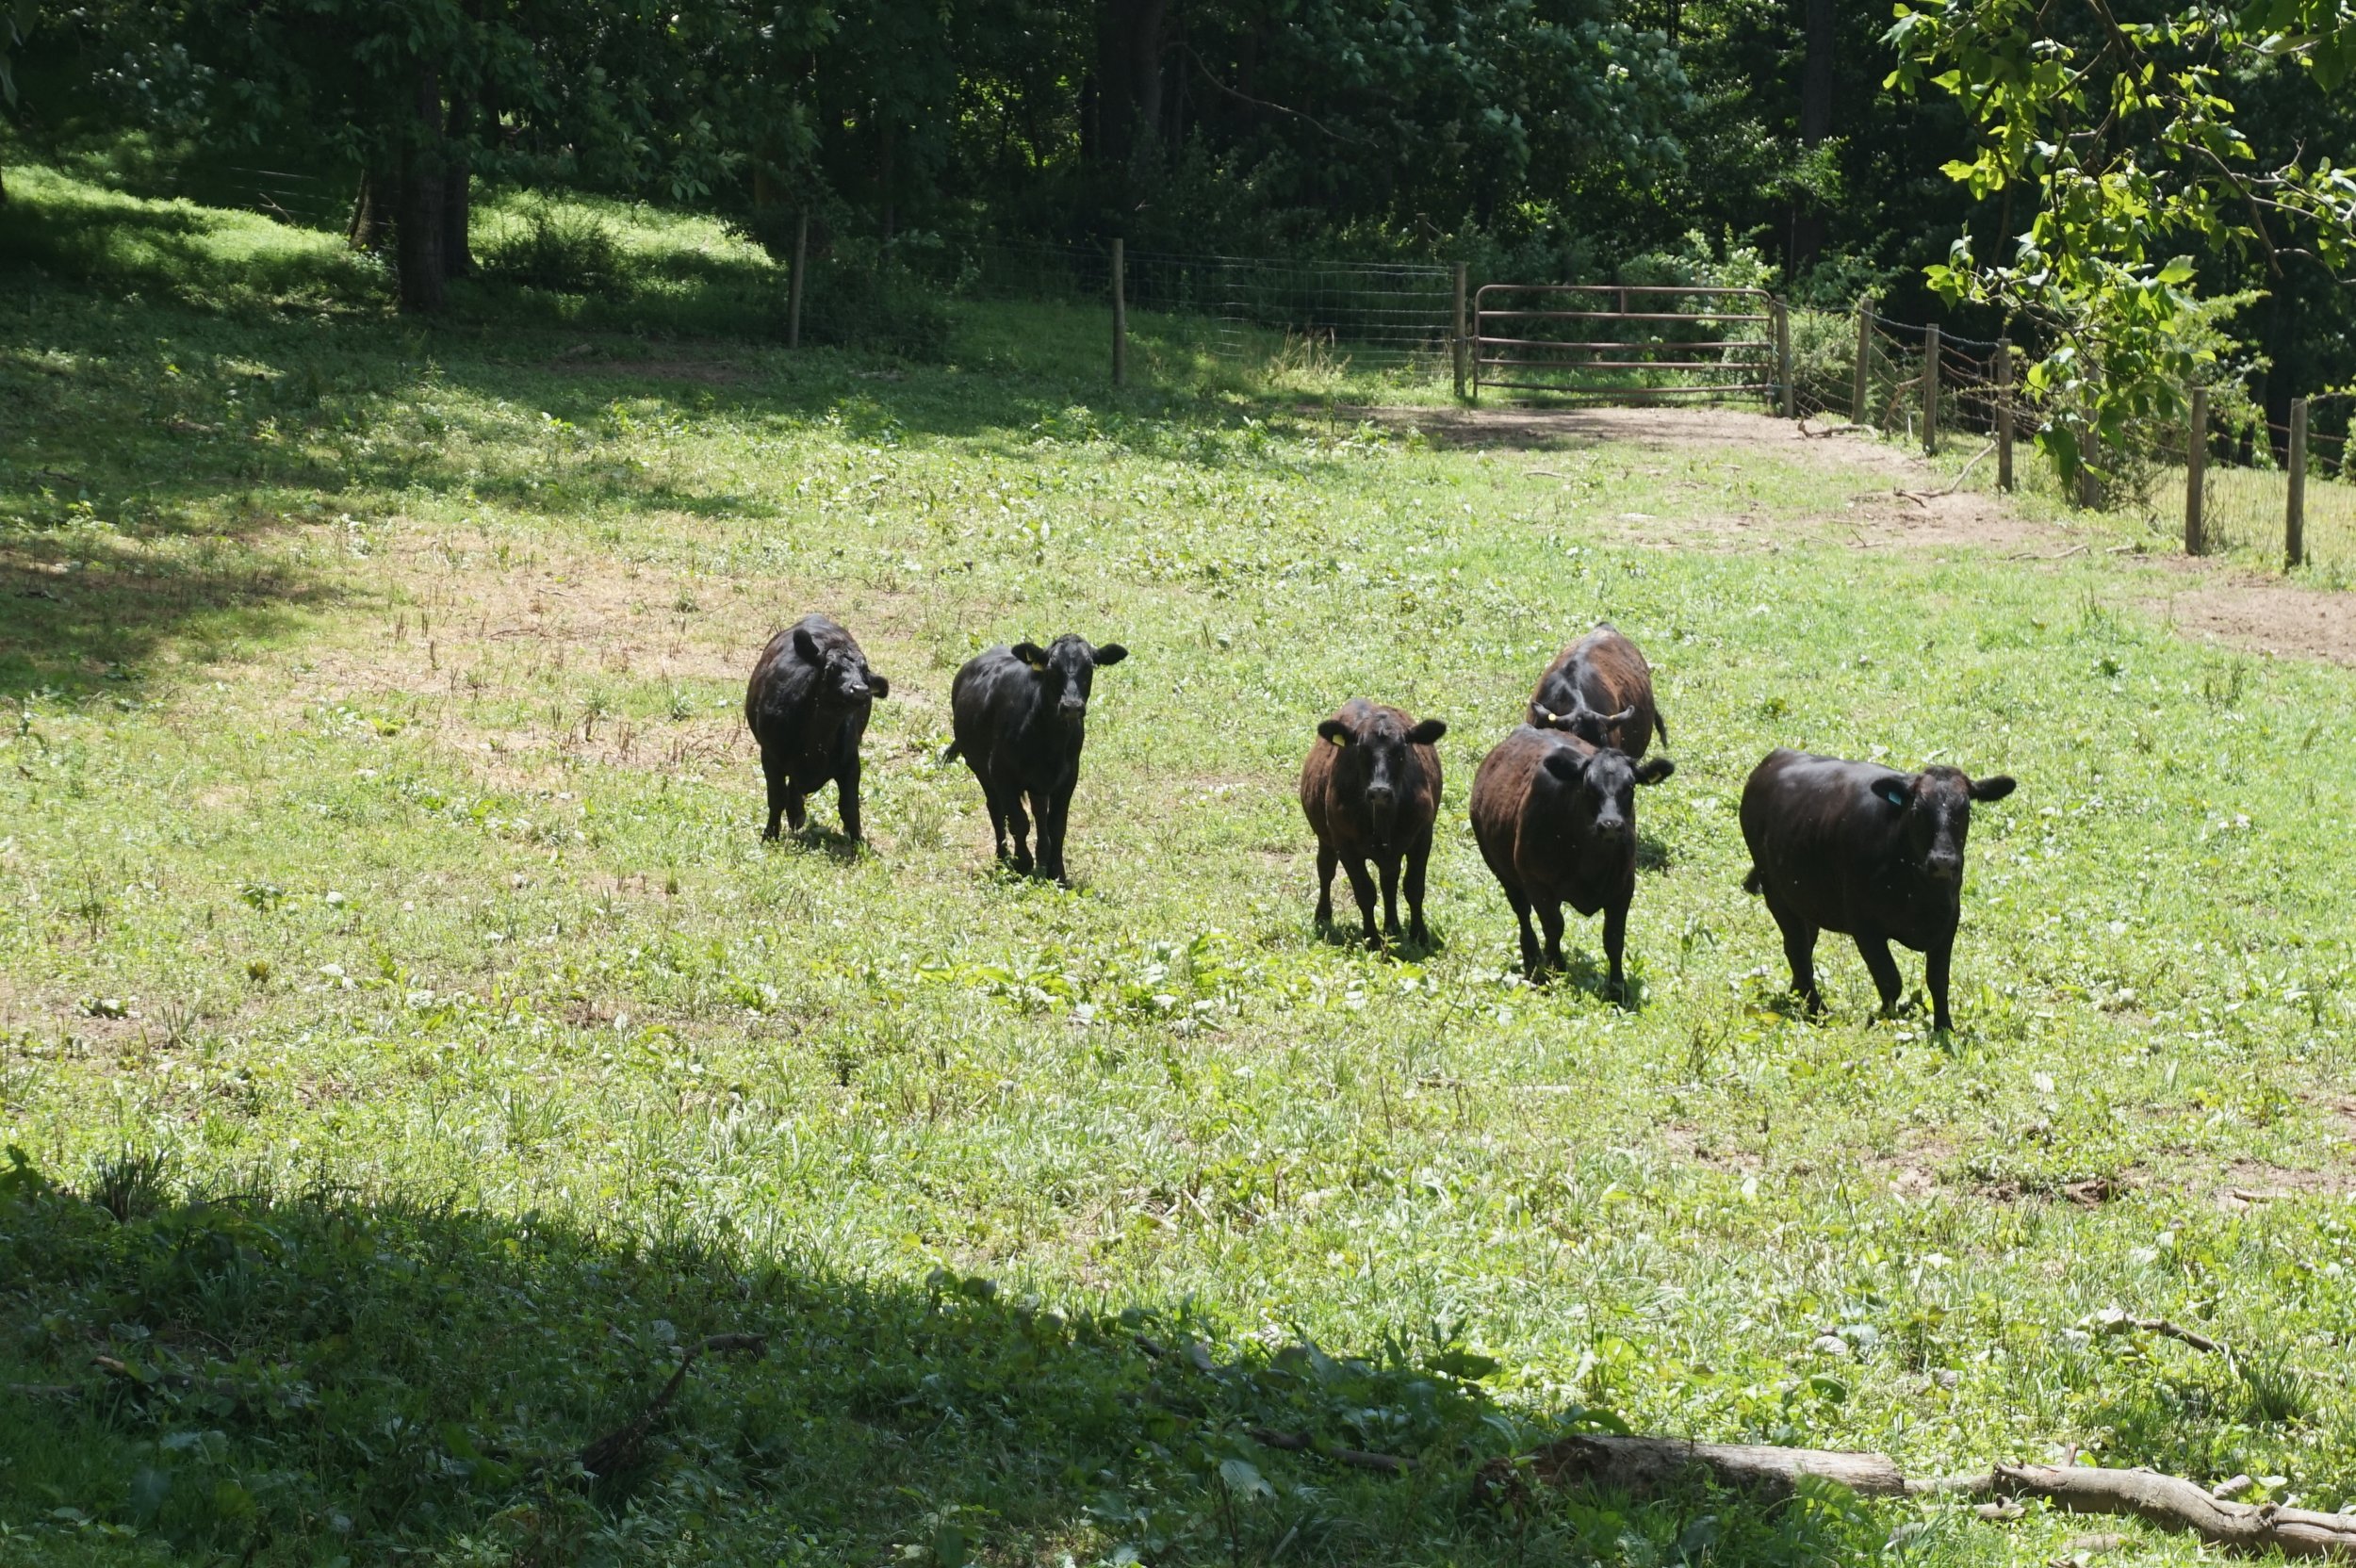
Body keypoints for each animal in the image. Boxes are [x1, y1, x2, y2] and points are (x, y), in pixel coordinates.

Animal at [744, 614, 890, 843]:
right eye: (831, 669)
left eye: (865, 671)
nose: (860, 690)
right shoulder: (770, 756)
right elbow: (776, 798)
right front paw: (770, 835)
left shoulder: (851, 760)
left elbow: (849, 806)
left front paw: (857, 842)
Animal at [945, 634, 1128, 883]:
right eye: (1051, 669)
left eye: (1089, 668)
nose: (1071, 706)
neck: (1049, 740)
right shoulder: (1001, 773)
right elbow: (1018, 822)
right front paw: (1022, 862)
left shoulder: (1068, 776)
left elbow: (1057, 825)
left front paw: (1057, 871)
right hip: (980, 768)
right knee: (996, 809)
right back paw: (1003, 857)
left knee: (1039, 811)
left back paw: (1042, 855)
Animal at [1298, 700, 1447, 949]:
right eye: (1361, 750)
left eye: (1401, 750)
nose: (1380, 791)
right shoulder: (1344, 843)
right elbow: (1365, 892)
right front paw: (1372, 939)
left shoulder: (1422, 836)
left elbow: (1414, 888)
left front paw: (1419, 935)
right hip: (1325, 838)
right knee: (1326, 869)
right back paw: (1323, 915)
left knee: (1389, 880)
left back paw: (1392, 927)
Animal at [1469, 725, 1673, 999]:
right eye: (1588, 785)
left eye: (1630, 786)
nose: (1610, 824)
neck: (1591, 860)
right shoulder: (1537, 883)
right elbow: (1554, 926)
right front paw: (1554, 969)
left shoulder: (1624, 887)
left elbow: (1614, 938)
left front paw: (1617, 988)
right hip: (1501, 870)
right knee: (1522, 913)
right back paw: (1532, 958)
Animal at [1739, 748, 2018, 1032]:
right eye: (1917, 810)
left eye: (1965, 809)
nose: (1943, 861)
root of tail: (1778, 756)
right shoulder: (1864, 926)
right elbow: (1890, 980)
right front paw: (1881, 1018)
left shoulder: (1948, 921)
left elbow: (1938, 980)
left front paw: (1944, 1026)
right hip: (1776, 893)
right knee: (1798, 949)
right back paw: (1818, 1011)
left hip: (1805, 899)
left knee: (1801, 947)